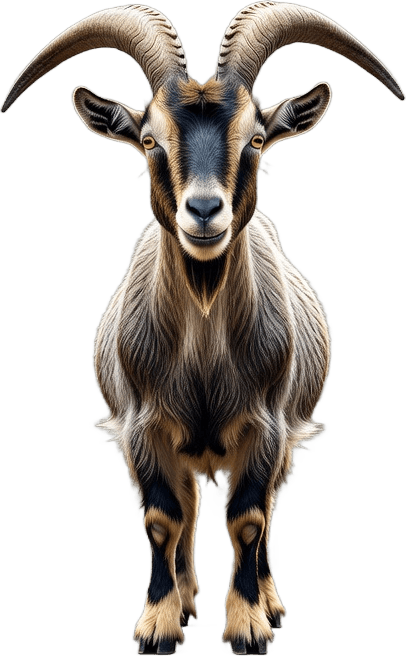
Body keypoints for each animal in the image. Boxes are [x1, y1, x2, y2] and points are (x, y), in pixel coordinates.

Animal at [2, 3, 404, 655]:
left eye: (257, 137)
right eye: (148, 139)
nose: (205, 211)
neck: (204, 359)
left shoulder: (267, 427)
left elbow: (250, 517)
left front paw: (248, 624)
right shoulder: (143, 427)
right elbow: (163, 517)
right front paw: (159, 623)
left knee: (263, 508)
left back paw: (268, 601)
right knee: (188, 506)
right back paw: (188, 597)